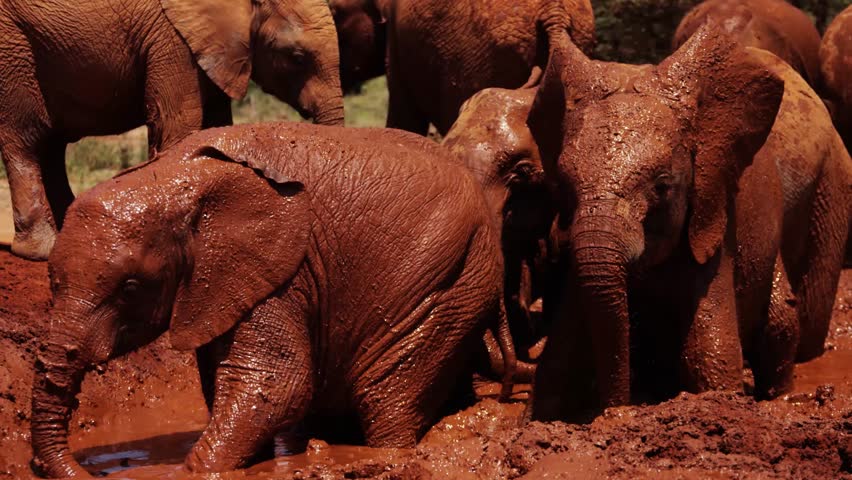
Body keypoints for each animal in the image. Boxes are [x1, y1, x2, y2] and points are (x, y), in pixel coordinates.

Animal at [0, 0, 344, 261]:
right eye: (296, 58)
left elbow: (216, 125)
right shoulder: (172, 43)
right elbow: (179, 125)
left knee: (51, 146)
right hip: (12, 48)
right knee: (26, 139)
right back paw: (41, 251)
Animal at [29, 122, 506, 477]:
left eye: (129, 288)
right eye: (50, 279)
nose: (92, 471)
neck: (174, 175)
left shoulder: (284, 268)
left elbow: (276, 384)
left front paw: (191, 471)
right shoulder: (223, 282)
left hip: (451, 280)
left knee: (386, 400)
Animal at [526, 23, 851, 422]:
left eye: (662, 187)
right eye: (565, 186)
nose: (618, 411)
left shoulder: (713, 218)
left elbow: (707, 355)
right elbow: (561, 357)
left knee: (781, 323)